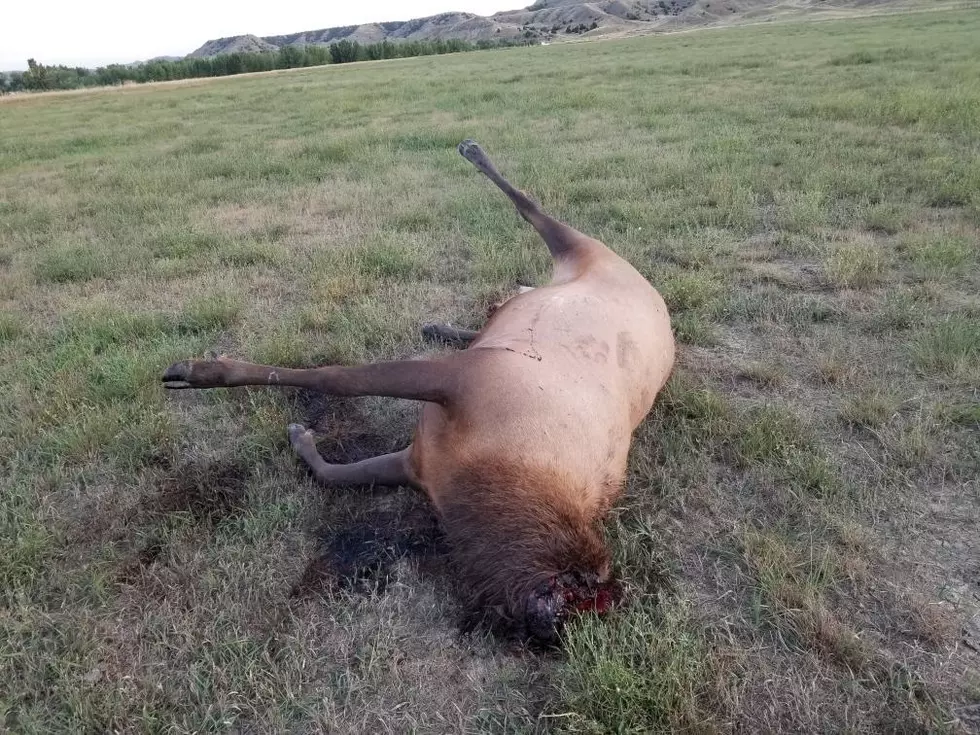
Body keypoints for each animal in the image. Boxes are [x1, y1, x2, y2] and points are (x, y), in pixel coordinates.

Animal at [167, 139, 672, 644]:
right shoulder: (461, 380)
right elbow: (335, 379)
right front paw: (197, 371)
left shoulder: (419, 460)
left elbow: (331, 464)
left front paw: (297, 434)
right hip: (584, 250)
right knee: (528, 208)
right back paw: (472, 156)